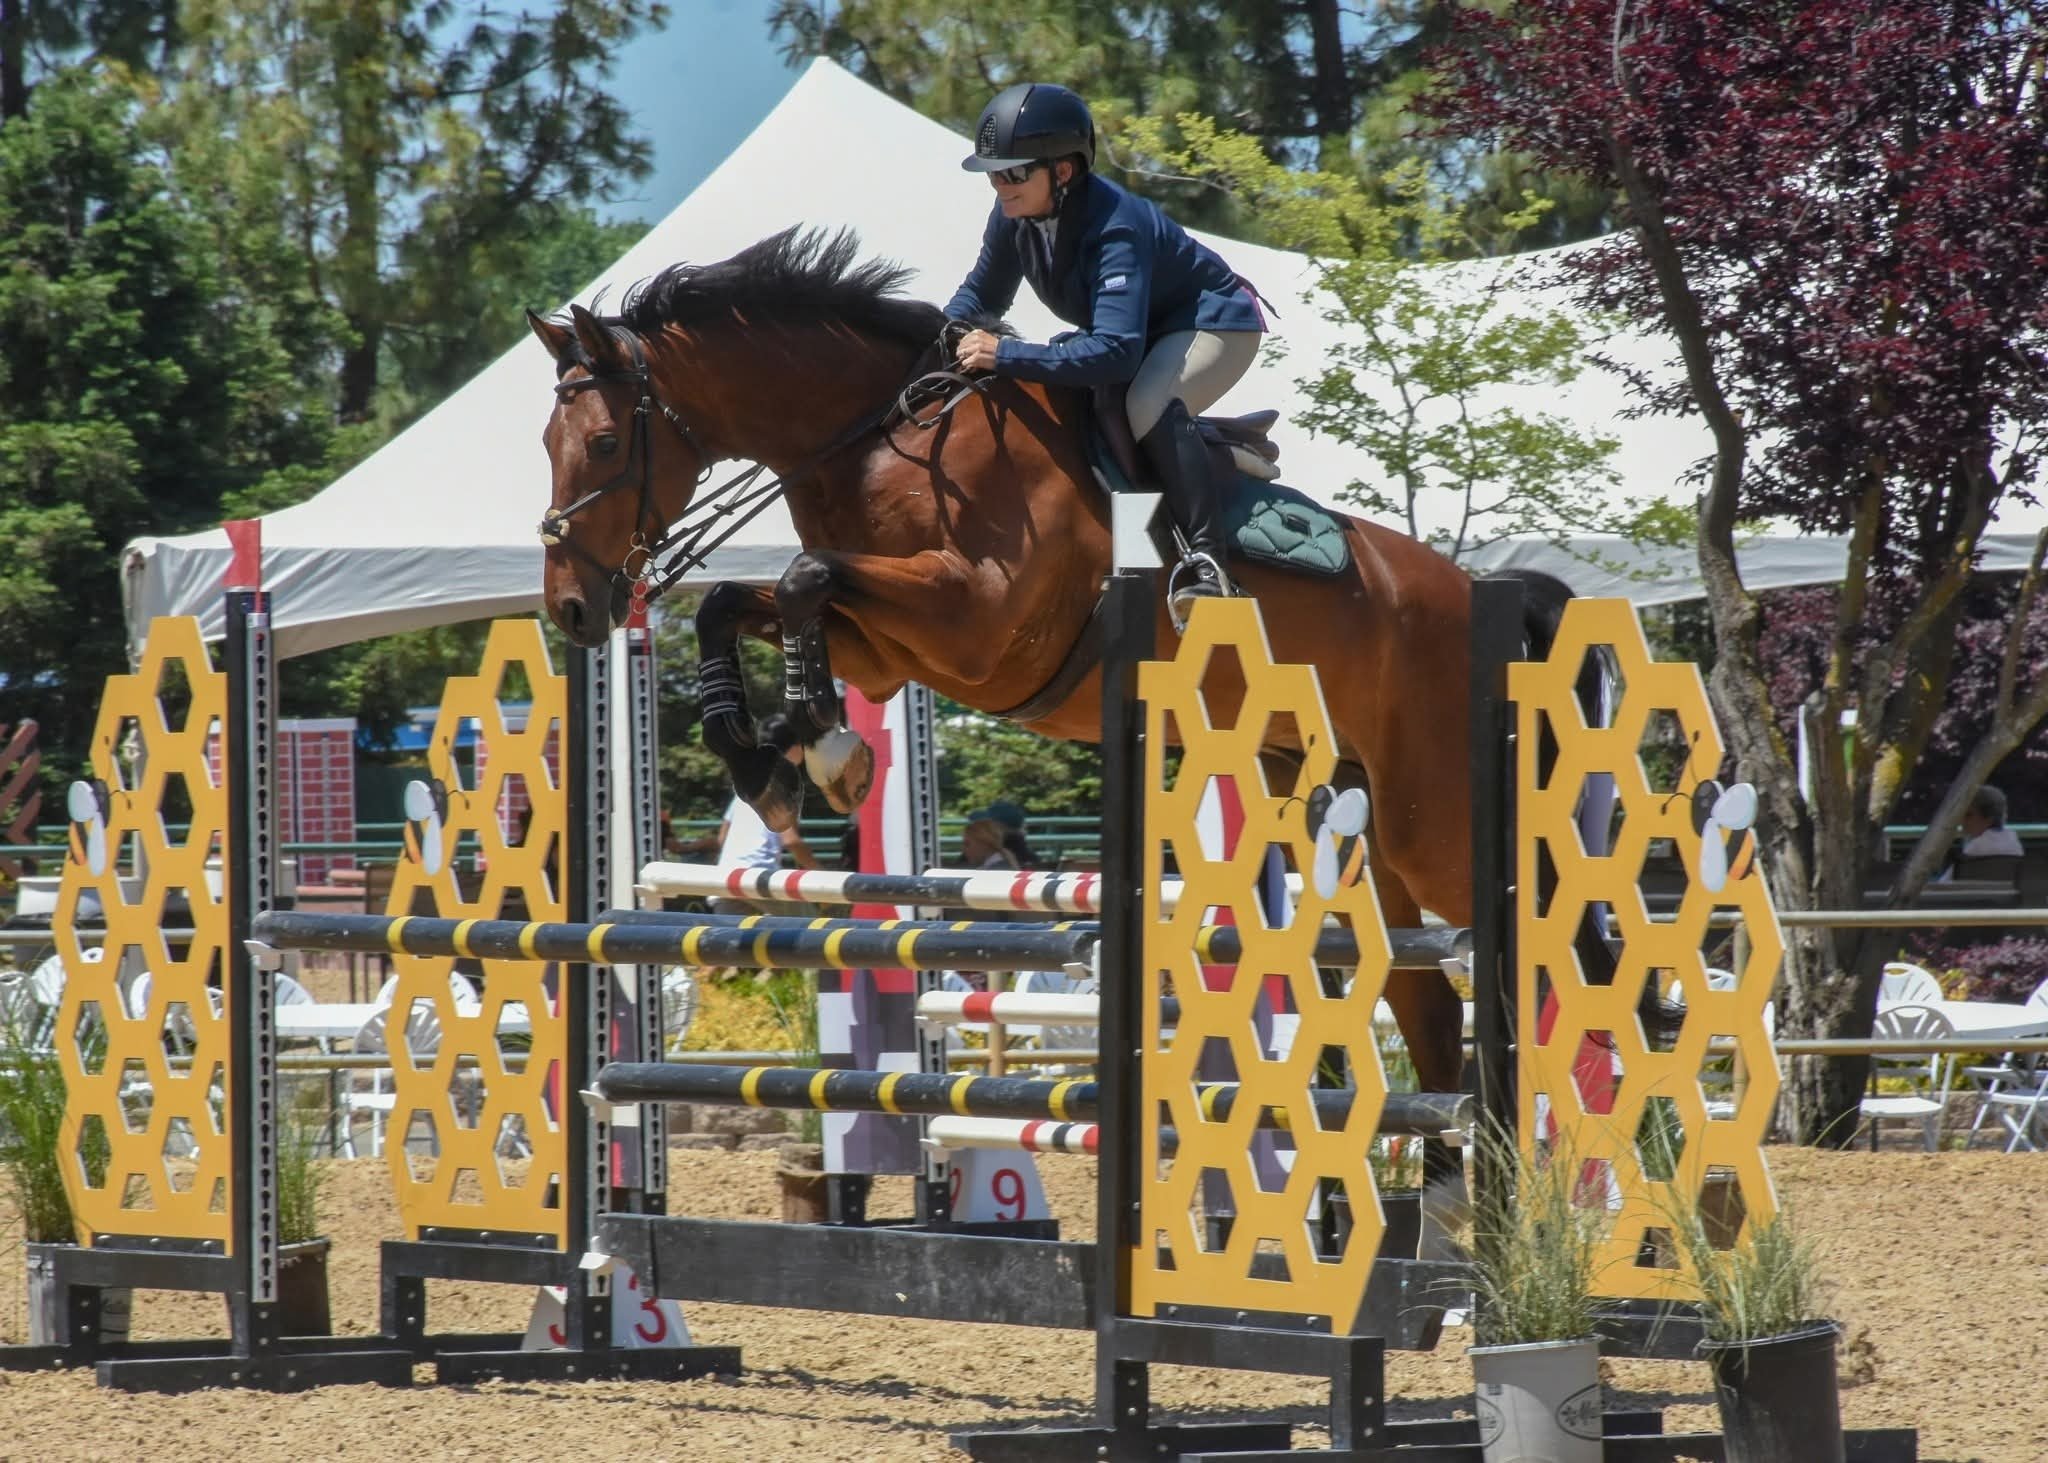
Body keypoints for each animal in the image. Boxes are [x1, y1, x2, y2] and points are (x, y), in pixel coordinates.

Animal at [527, 226, 1604, 1241]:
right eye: (548, 441)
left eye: (602, 442)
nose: (574, 610)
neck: (877, 437)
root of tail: (1477, 592)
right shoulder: (887, 649)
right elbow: (748, 601)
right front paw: (790, 758)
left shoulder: (971, 624)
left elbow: (801, 577)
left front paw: (819, 751)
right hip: (1355, 815)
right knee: (1427, 996)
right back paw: (1457, 1200)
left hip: (1435, 824)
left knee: (1546, 954)